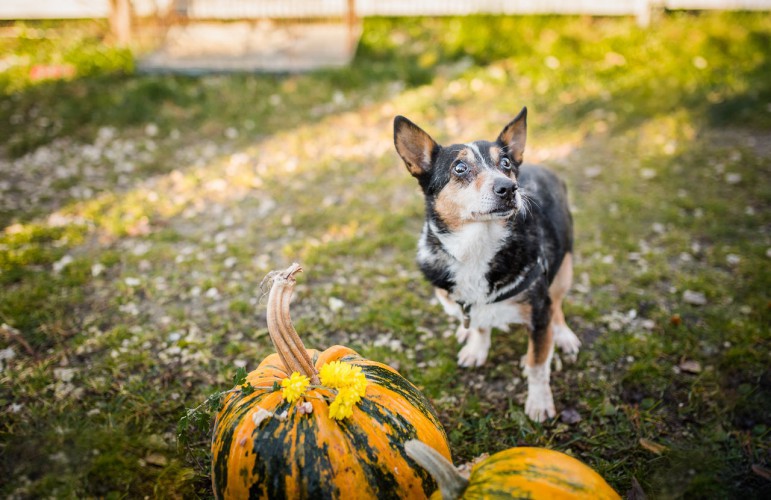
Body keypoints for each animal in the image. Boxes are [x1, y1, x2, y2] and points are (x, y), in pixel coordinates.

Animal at [398, 109, 580, 422]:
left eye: (505, 163)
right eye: (460, 168)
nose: (509, 188)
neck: (477, 247)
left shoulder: (539, 311)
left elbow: (538, 364)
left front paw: (539, 401)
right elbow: (480, 325)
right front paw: (476, 346)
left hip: (563, 267)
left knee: (557, 305)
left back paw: (563, 336)